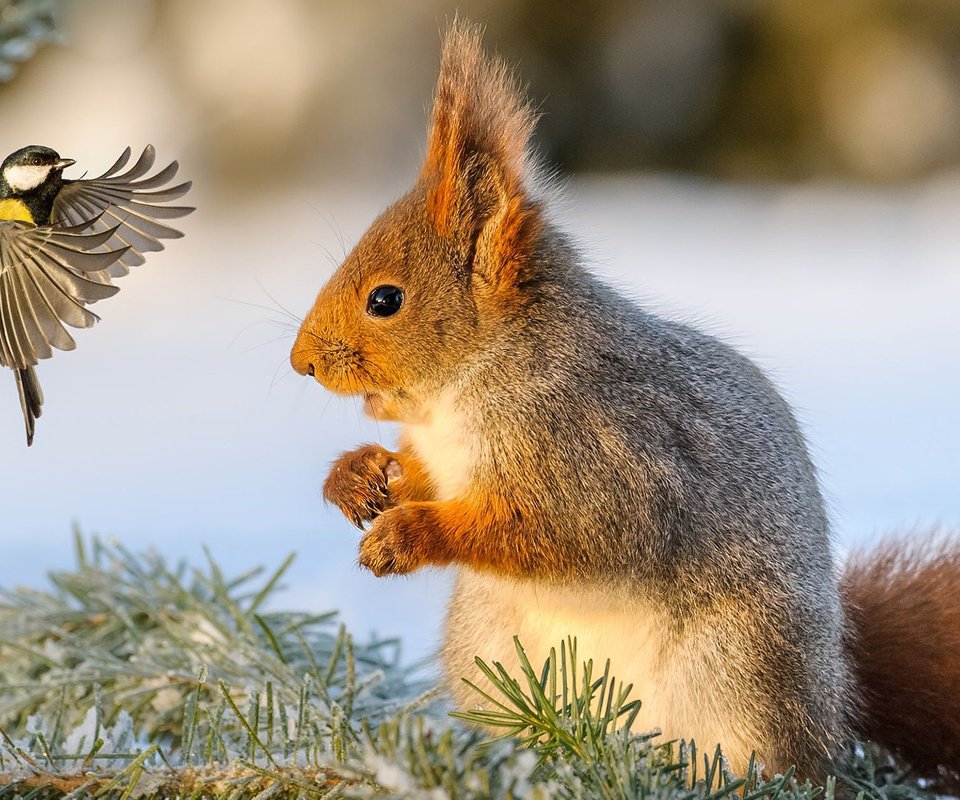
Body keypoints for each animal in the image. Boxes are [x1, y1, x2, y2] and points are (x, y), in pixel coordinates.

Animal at [290, 21, 960, 784]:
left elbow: (557, 531)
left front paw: (409, 534)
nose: (300, 362)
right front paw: (358, 476)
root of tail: (836, 698)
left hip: (741, 668)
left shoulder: (602, 454)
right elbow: (421, 476)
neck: (465, 391)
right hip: (489, 648)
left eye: (385, 300)